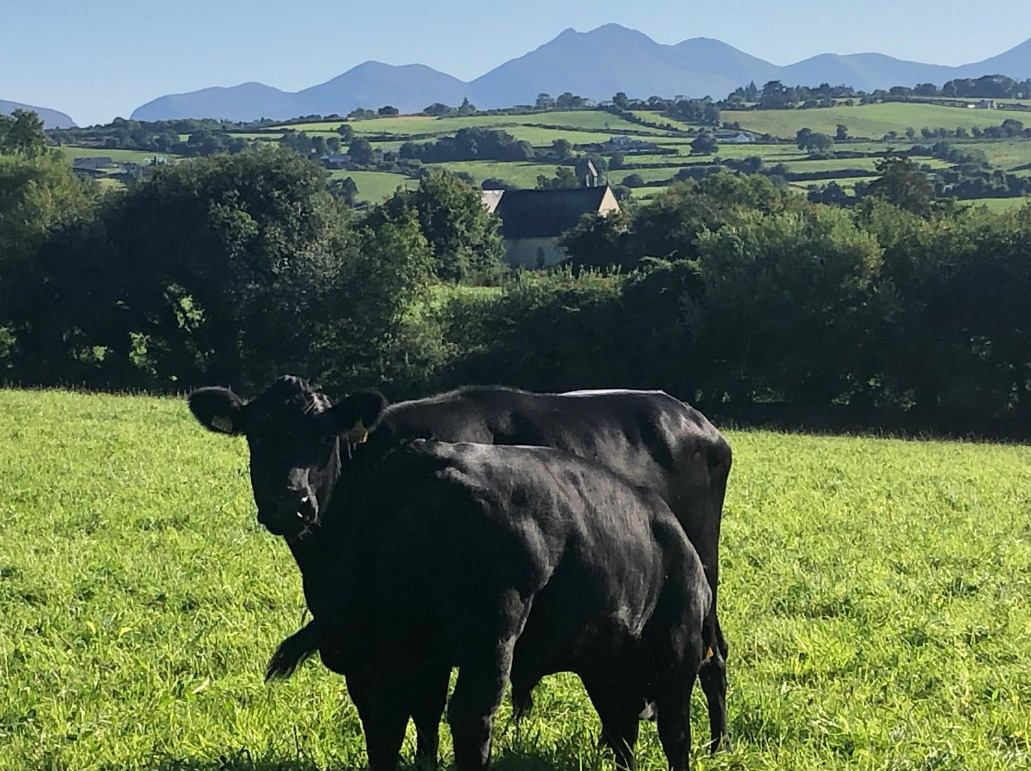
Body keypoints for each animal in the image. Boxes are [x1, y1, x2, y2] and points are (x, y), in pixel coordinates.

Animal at [188, 376, 721, 771]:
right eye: (257, 435)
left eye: (324, 438)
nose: (290, 504)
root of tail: (692, 418)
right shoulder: (372, 650)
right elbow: (395, 719)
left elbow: (419, 713)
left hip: (699, 575)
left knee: (711, 659)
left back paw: (720, 746)